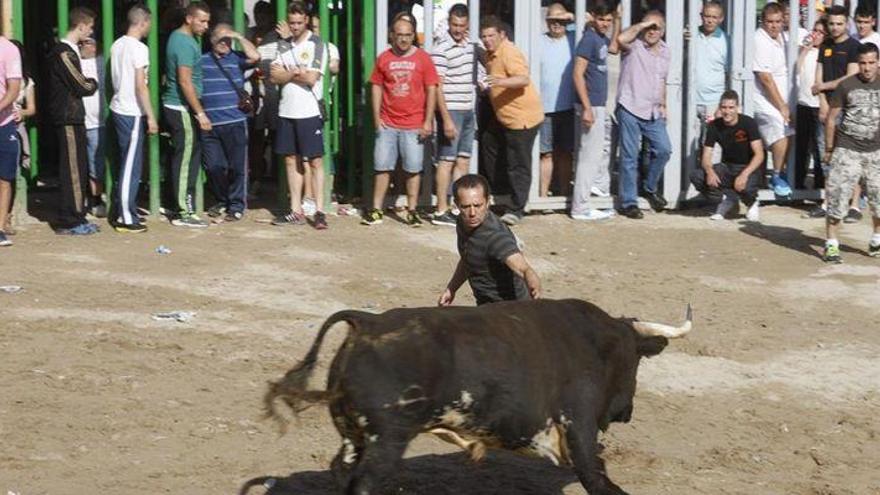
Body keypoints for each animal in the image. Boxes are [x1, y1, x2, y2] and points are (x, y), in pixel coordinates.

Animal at [262, 298, 696, 495]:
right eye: (635, 361)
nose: (626, 411)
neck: (595, 342)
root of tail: (367, 322)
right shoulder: (580, 430)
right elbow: (599, 480)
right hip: (386, 440)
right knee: (363, 484)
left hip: (354, 437)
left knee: (341, 471)